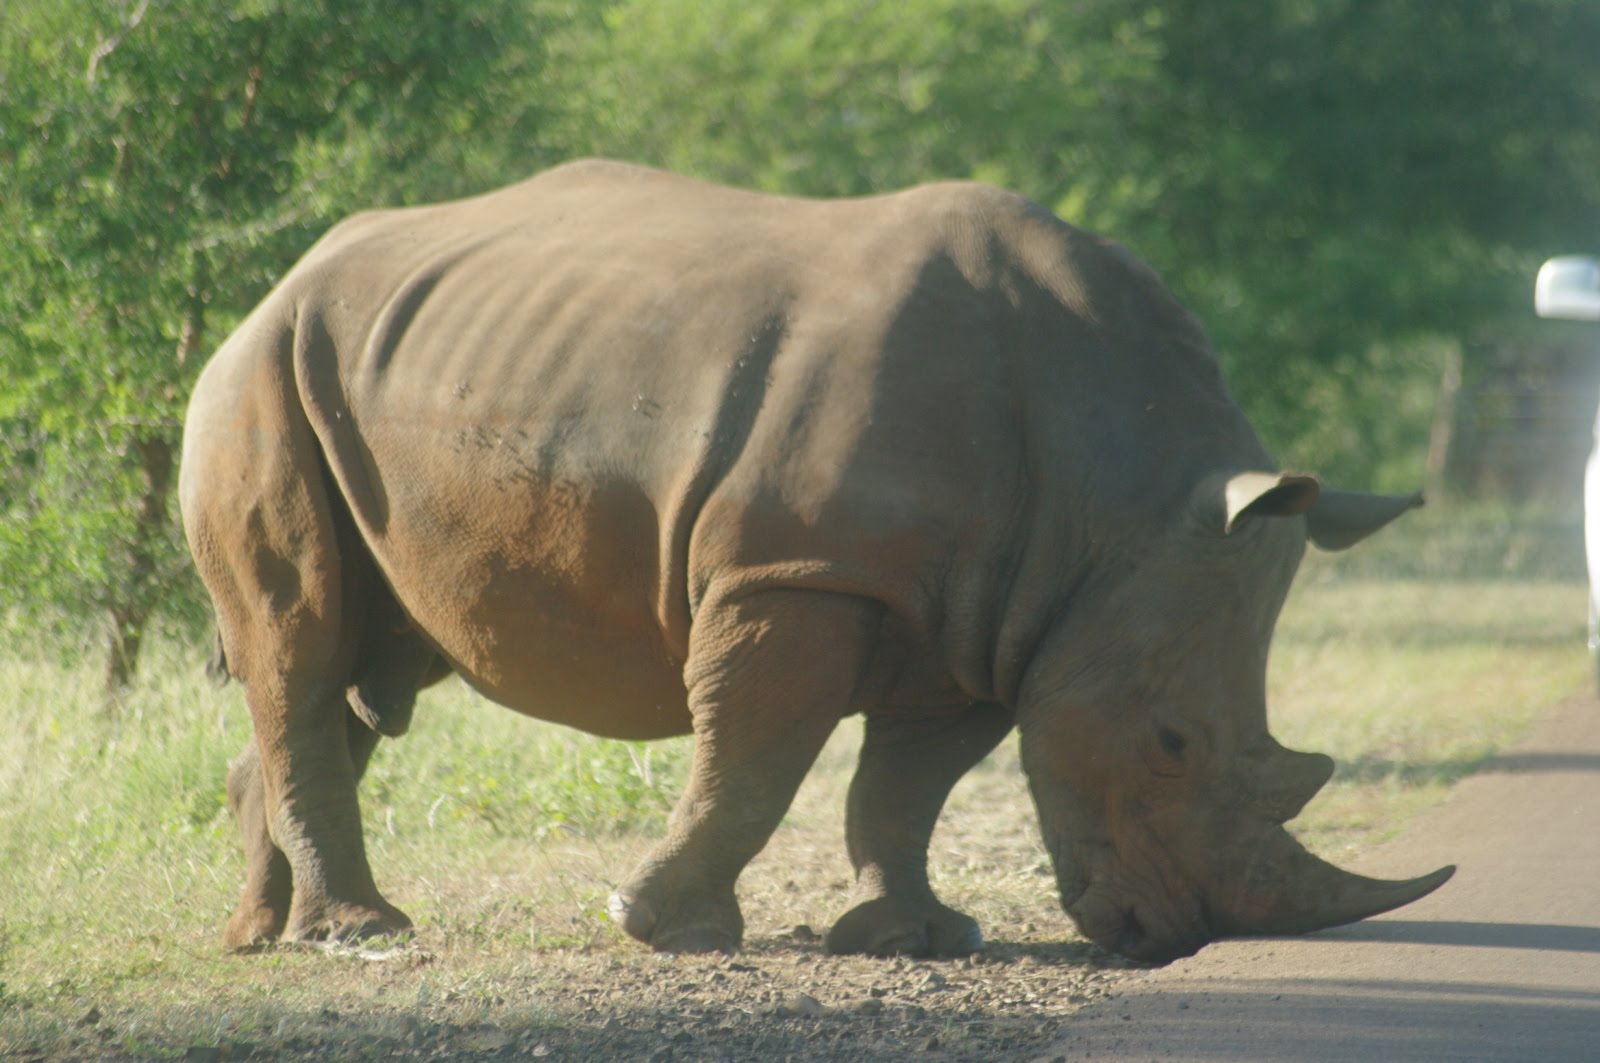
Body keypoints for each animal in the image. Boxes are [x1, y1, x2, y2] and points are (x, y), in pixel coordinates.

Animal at [180, 160, 1451, 963]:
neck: (1116, 496)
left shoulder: (988, 617)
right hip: (258, 376)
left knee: (364, 663)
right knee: (302, 636)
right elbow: (756, 756)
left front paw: (918, 939)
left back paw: (261, 936)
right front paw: (666, 928)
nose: (1170, 935)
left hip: (372, 368)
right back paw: (361, 936)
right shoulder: (798, 571)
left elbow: (904, 784)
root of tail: (280, 279)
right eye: (1173, 741)